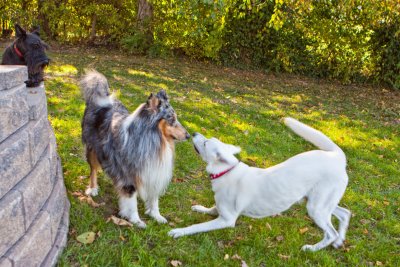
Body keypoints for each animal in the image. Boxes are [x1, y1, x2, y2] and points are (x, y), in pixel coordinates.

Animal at [168, 118, 350, 252]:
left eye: (206, 143)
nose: (192, 133)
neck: (226, 170)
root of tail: (337, 157)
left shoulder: (227, 220)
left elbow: (197, 226)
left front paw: (179, 231)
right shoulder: (222, 210)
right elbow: (212, 208)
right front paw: (200, 208)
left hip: (316, 208)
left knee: (331, 232)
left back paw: (312, 248)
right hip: (318, 203)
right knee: (345, 213)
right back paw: (339, 241)